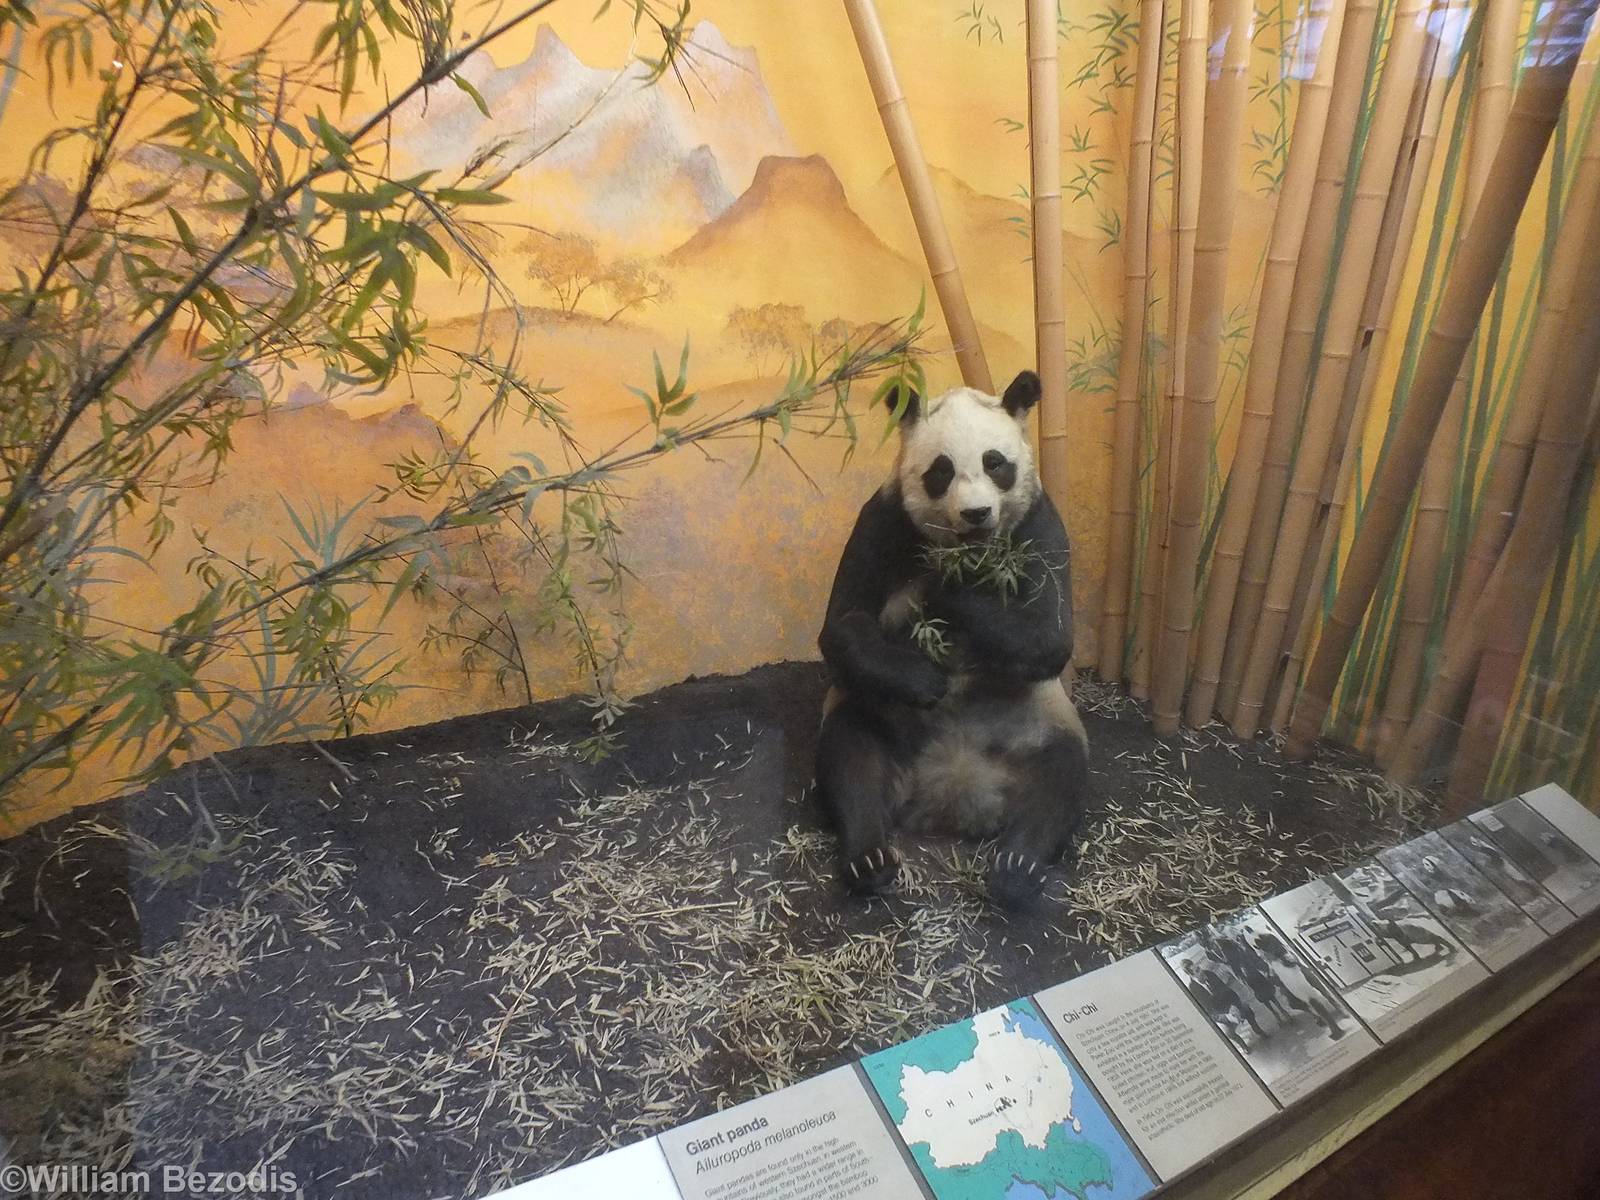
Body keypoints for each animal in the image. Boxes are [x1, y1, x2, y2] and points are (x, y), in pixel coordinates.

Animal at [815, 369, 1088, 910]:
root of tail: (954, 787)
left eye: (995, 462)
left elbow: (1048, 636)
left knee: (1060, 777)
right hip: (877, 712)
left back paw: (1017, 866)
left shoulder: (1041, 526)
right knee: (851, 756)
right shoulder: (884, 519)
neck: (972, 551)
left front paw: (943, 587)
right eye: (941, 471)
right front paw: (927, 678)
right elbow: (843, 624)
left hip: (1039, 720)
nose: (977, 514)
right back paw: (870, 859)